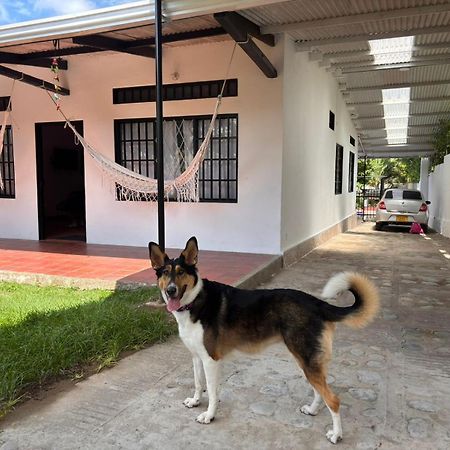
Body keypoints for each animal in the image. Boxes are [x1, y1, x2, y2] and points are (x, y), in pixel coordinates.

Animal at [150, 237, 380, 444]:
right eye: (165, 273)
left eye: (181, 272)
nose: (171, 290)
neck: (195, 301)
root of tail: (317, 303)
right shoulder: (197, 357)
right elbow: (198, 384)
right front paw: (196, 401)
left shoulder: (210, 360)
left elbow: (213, 392)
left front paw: (209, 415)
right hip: (307, 360)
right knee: (319, 391)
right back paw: (313, 410)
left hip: (306, 359)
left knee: (333, 399)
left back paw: (336, 435)